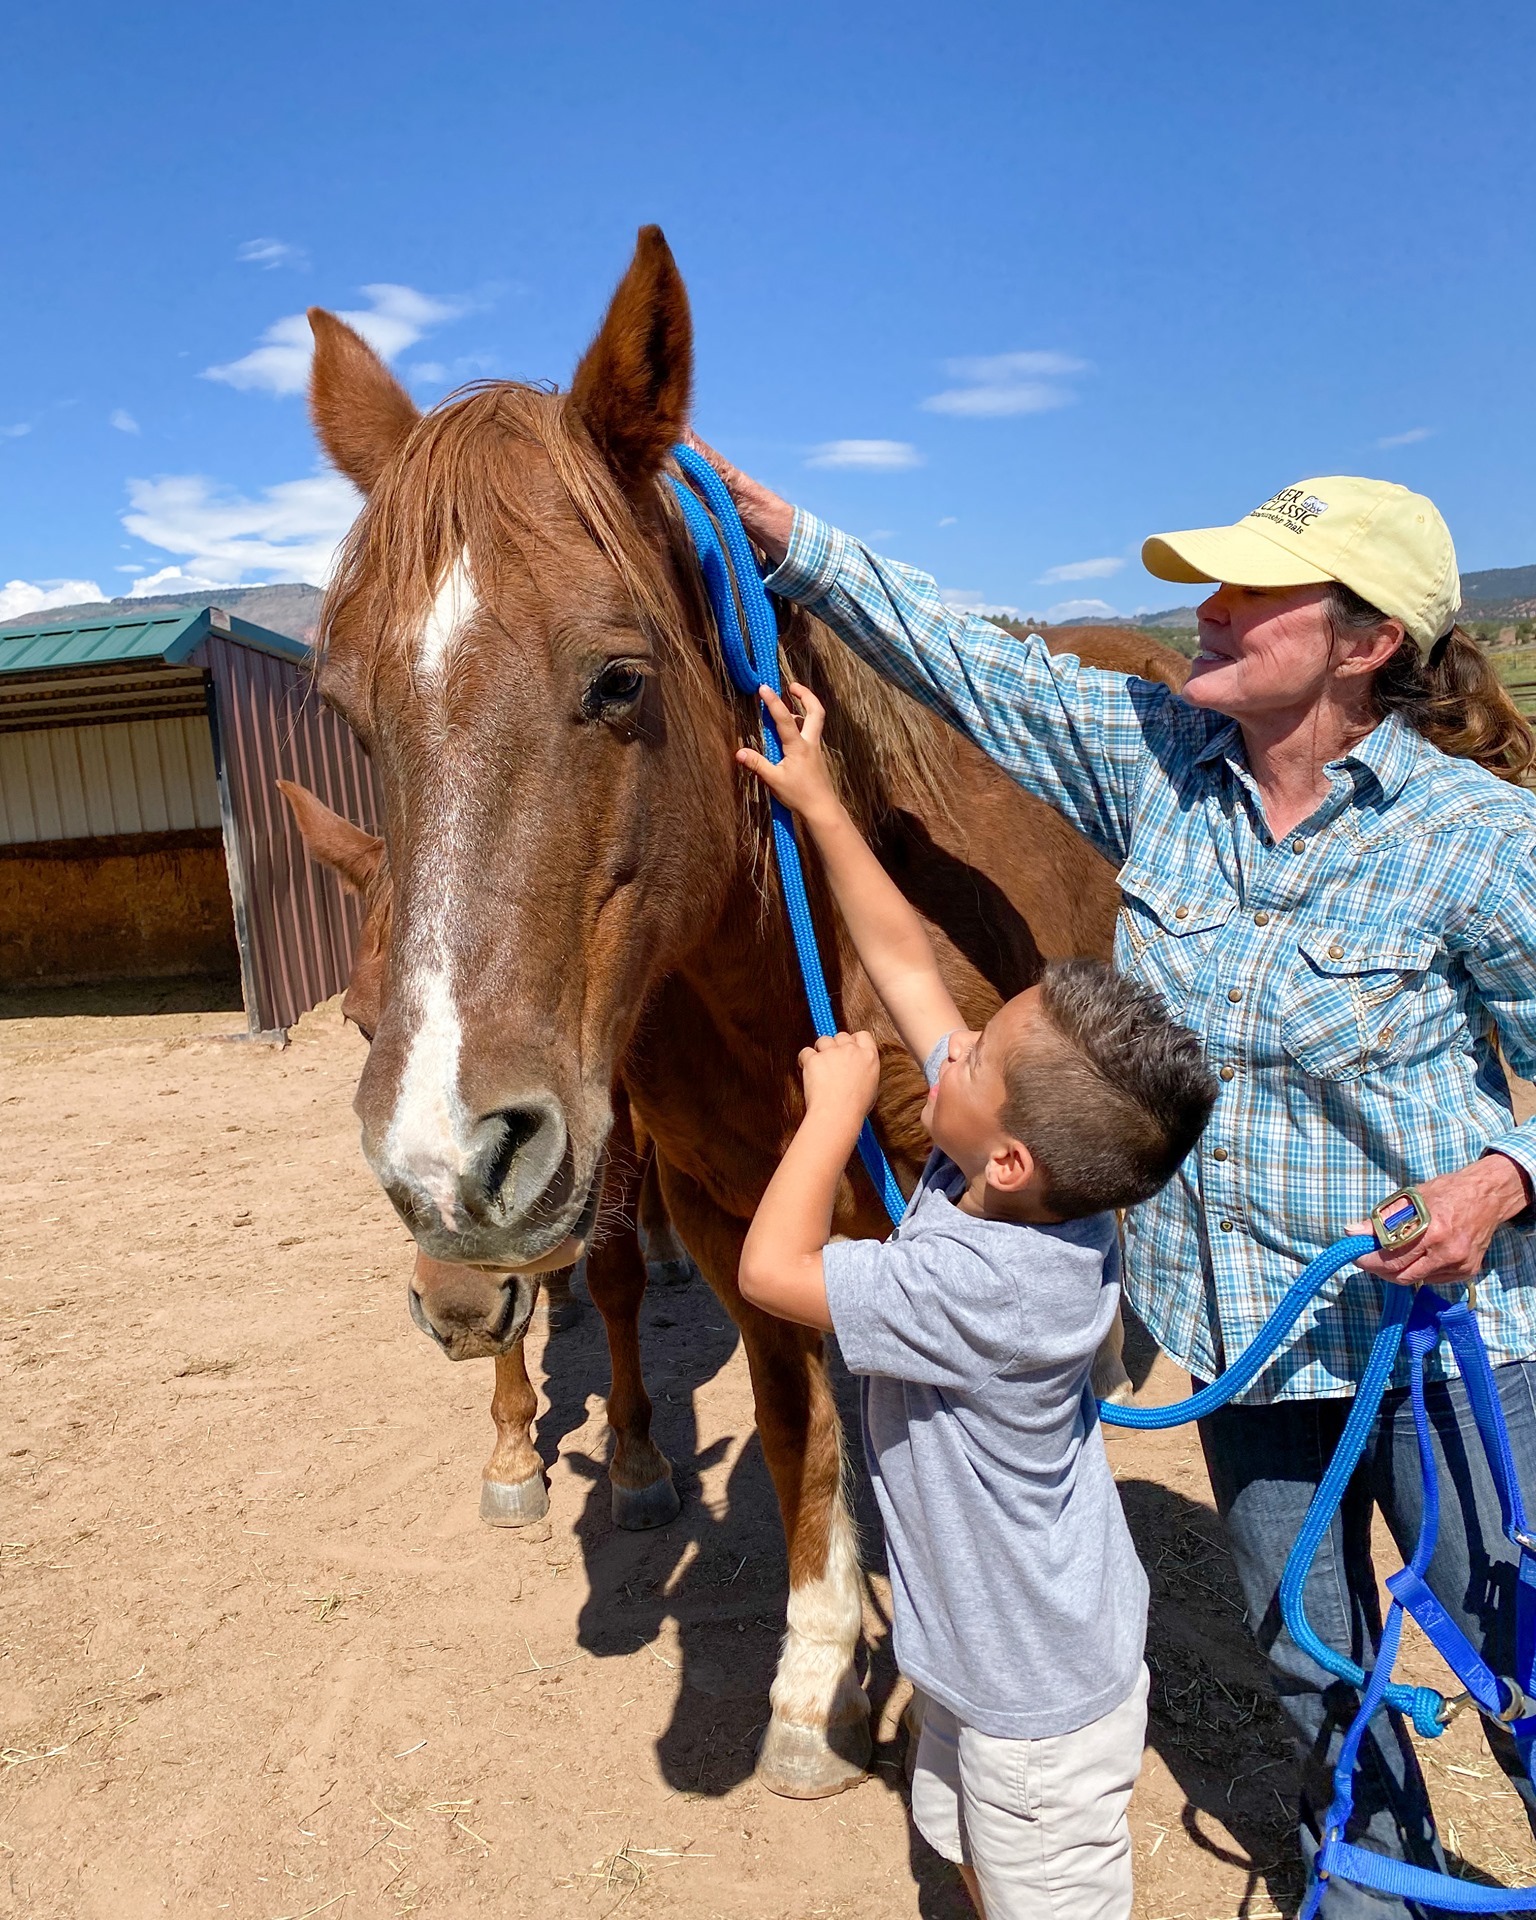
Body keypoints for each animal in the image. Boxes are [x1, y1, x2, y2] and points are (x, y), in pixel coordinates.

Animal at [303, 224, 1175, 1797]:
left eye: (619, 678)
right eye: (351, 710)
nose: (449, 1165)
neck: (789, 968)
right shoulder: (727, 1219)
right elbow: (794, 1432)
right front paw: (822, 1674)